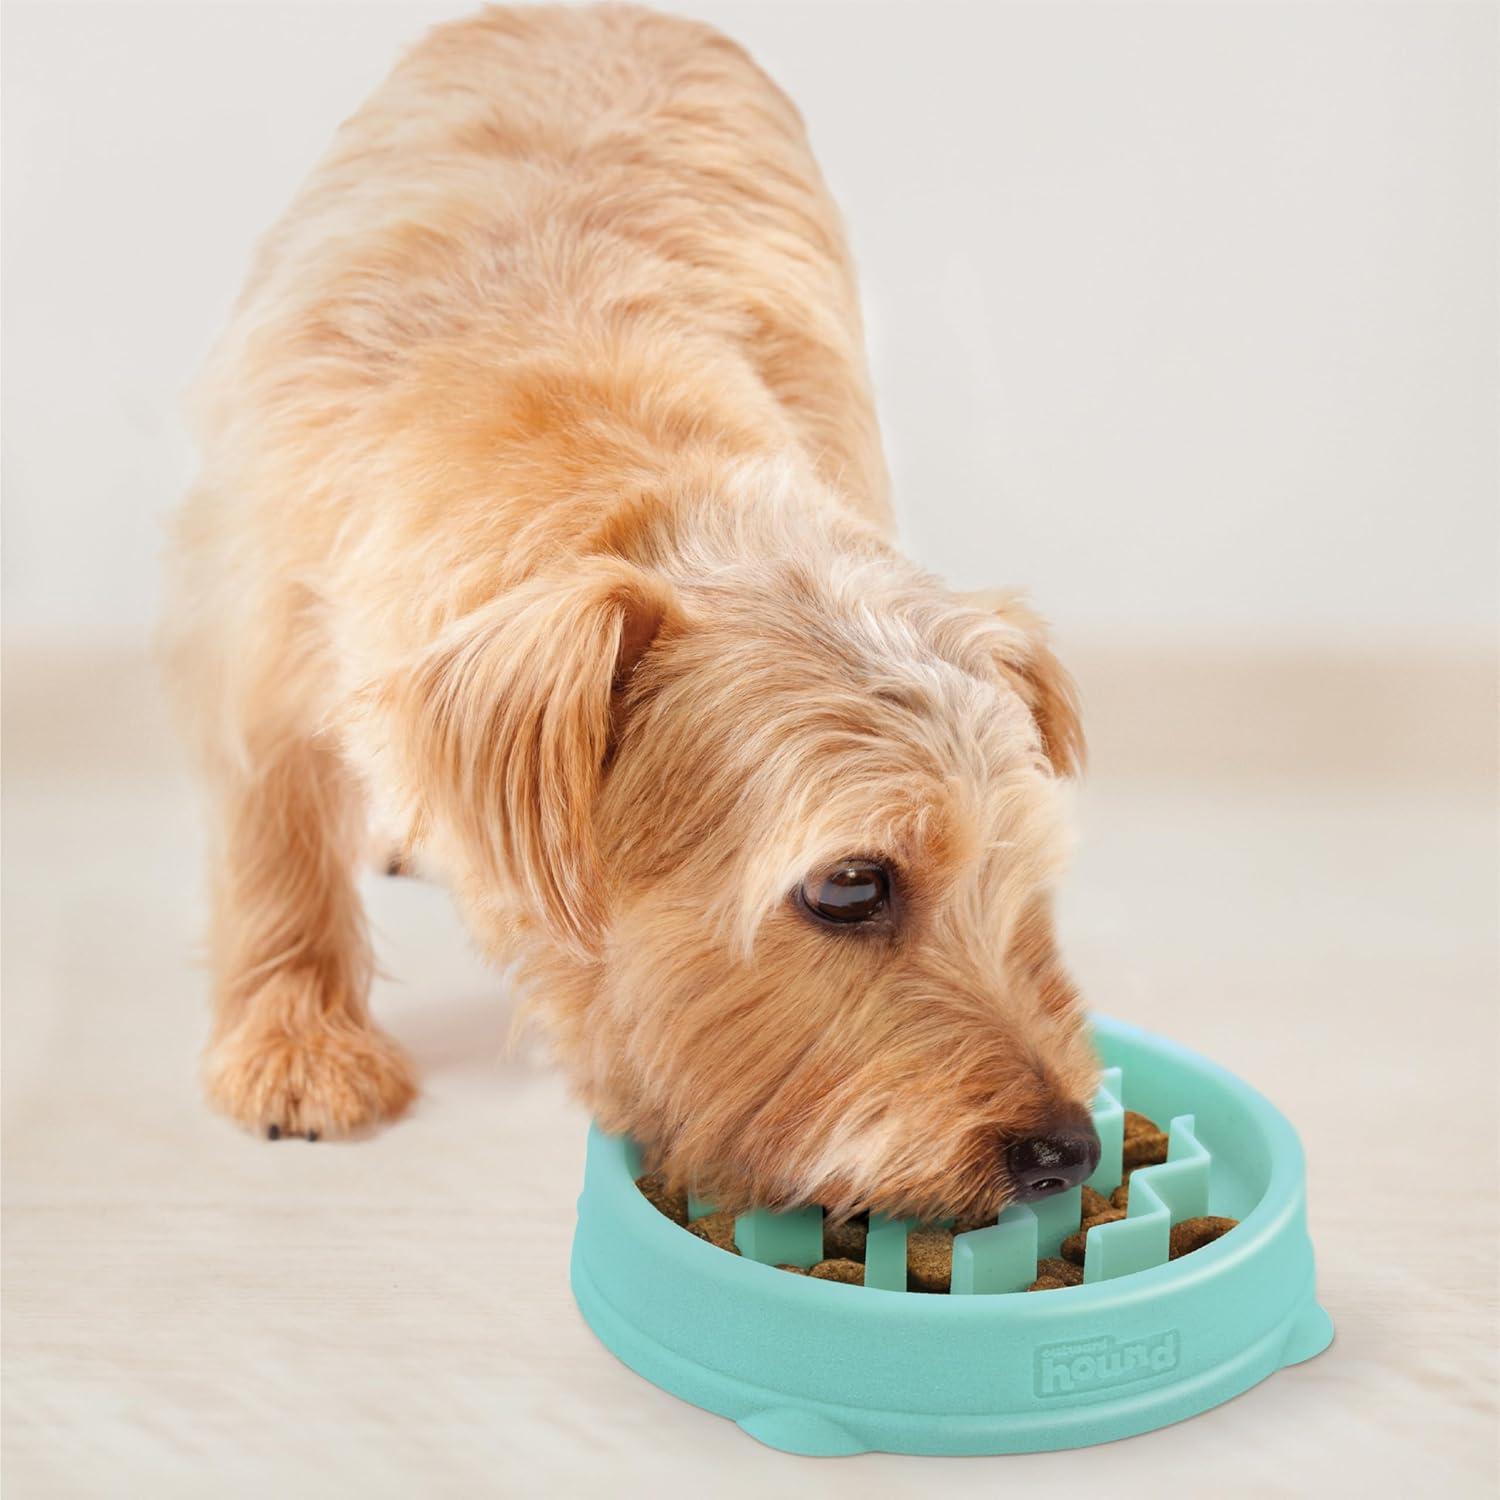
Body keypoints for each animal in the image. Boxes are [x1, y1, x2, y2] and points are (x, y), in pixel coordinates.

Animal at [164, 2, 1104, 1230]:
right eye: (851, 885)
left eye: (1018, 867)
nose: (1070, 1152)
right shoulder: (259, 630)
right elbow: (273, 837)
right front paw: (296, 1040)